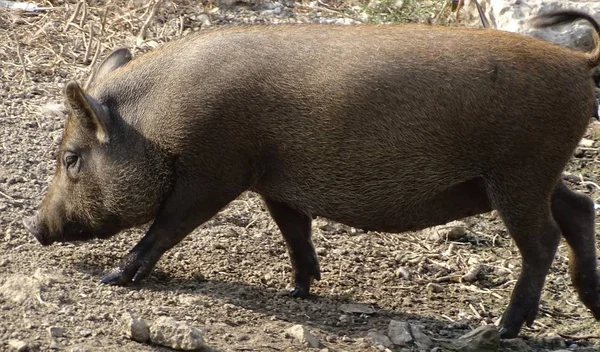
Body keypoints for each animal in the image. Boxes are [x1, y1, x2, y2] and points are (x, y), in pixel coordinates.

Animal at [23, 9, 600, 336]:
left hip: (521, 173)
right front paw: (295, 293)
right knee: (580, 208)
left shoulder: (215, 171)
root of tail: (578, 64)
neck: (155, 125)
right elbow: (295, 233)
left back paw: (506, 329)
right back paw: (588, 304)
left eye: (71, 158)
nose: (34, 227)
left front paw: (114, 278)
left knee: (545, 238)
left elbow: (165, 227)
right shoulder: (274, 181)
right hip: (532, 177)